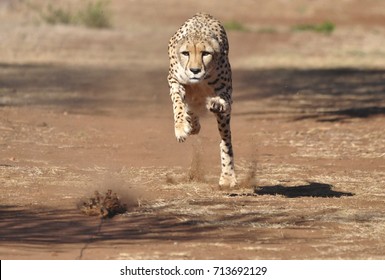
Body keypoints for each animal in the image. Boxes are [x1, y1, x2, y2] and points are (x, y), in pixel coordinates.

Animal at [166, 13, 236, 188]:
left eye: (205, 53)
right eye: (186, 53)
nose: (195, 70)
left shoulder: (227, 92)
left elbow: (223, 100)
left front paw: (216, 103)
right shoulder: (174, 81)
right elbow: (178, 105)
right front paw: (181, 128)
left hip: (223, 122)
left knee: (226, 141)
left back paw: (227, 177)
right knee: (190, 110)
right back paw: (192, 125)